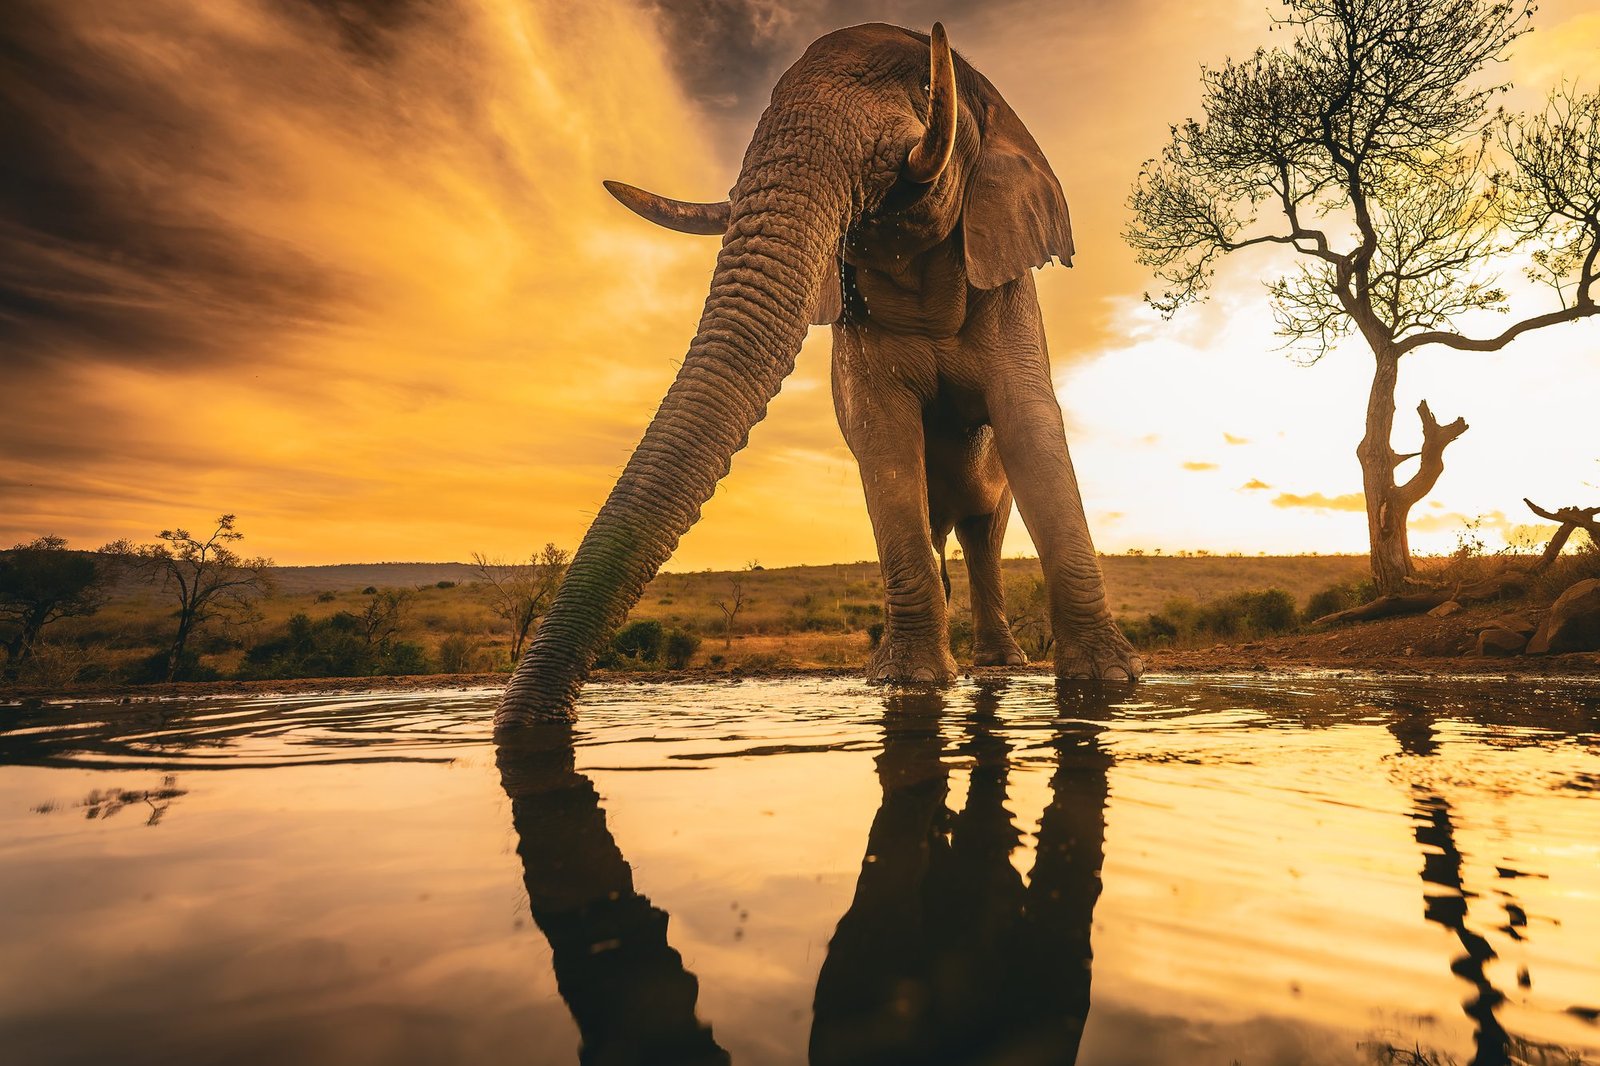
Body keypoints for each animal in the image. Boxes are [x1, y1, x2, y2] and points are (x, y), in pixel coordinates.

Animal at [499, 21, 1140, 728]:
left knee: (982, 529)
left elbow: (1028, 421)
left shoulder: (1008, 292)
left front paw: (1109, 684)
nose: (534, 717)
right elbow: (884, 443)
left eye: (925, 82)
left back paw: (1003, 666)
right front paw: (906, 684)